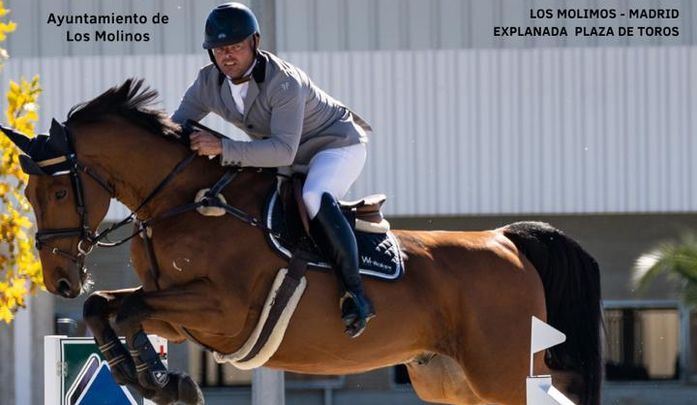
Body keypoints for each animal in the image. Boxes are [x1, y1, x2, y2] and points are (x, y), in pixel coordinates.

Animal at [2, 79, 602, 405]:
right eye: (27, 193)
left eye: (59, 191)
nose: (61, 279)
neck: (187, 199)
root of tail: (506, 242)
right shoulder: (177, 314)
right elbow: (105, 307)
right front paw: (146, 377)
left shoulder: (220, 309)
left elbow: (122, 311)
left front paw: (159, 380)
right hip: (451, 380)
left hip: (501, 373)